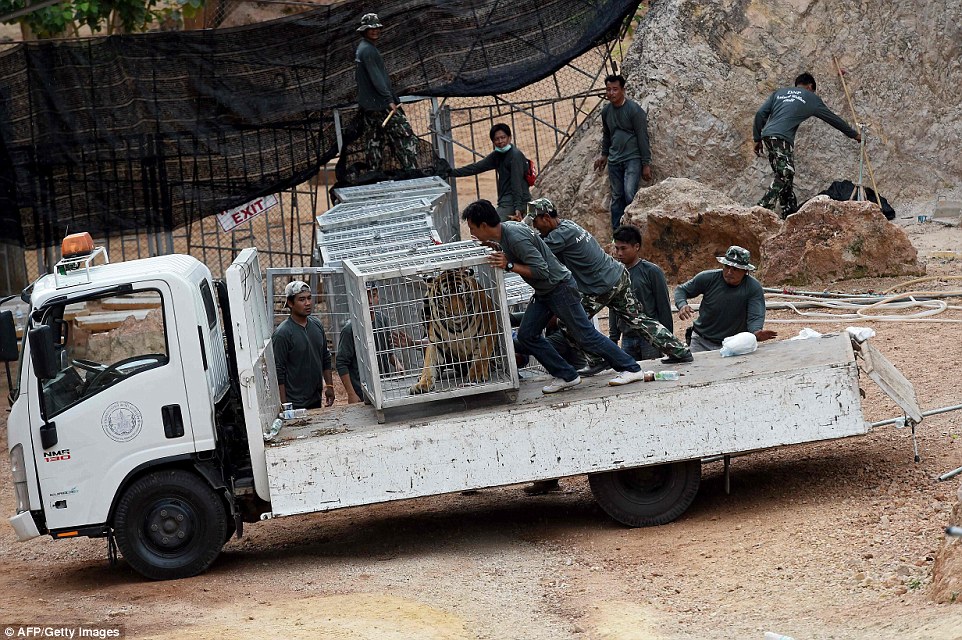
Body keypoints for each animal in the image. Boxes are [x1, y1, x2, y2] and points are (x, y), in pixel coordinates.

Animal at [408, 266, 498, 396]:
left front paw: (477, 375)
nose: (458, 313)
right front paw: (422, 384)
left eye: (461, 294)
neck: (457, 326)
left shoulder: (488, 331)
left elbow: (481, 356)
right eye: (446, 297)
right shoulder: (436, 343)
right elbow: (429, 365)